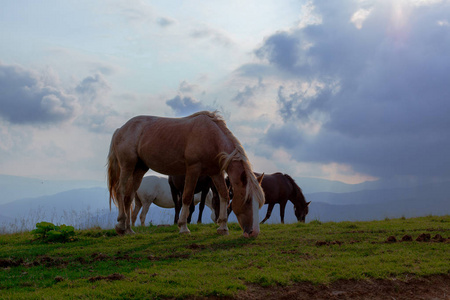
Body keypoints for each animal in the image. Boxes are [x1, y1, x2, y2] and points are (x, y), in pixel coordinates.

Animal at [107, 110, 266, 237]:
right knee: (121, 191)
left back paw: (128, 230)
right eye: (247, 201)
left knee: (129, 197)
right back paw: (120, 226)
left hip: (139, 169)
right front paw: (183, 227)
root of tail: (120, 129)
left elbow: (224, 194)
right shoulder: (193, 169)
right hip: (127, 166)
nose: (254, 232)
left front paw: (223, 228)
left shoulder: (215, 173)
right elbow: (187, 197)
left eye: (259, 203)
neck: (211, 136)